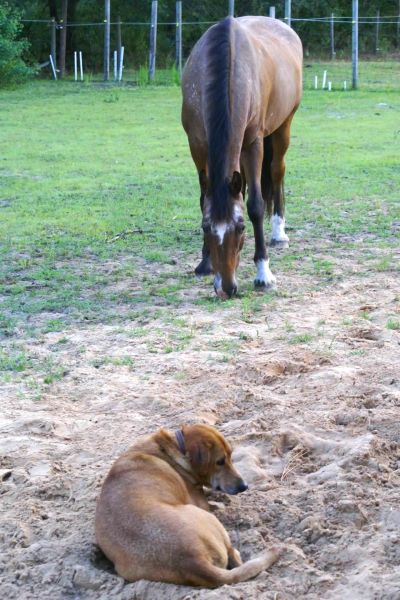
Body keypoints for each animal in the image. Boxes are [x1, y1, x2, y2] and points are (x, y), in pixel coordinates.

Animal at [95, 424, 280, 588]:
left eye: (230, 456)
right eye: (220, 461)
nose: (244, 486)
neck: (174, 449)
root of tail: (193, 562)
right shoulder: (200, 502)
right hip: (207, 518)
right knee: (234, 554)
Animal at [182, 17, 304, 298]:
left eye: (240, 228)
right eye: (206, 228)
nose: (227, 288)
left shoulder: (253, 143)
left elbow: (256, 205)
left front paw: (264, 273)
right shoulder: (197, 144)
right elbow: (204, 200)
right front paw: (205, 262)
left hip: (283, 127)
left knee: (277, 172)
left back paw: (279, 233)